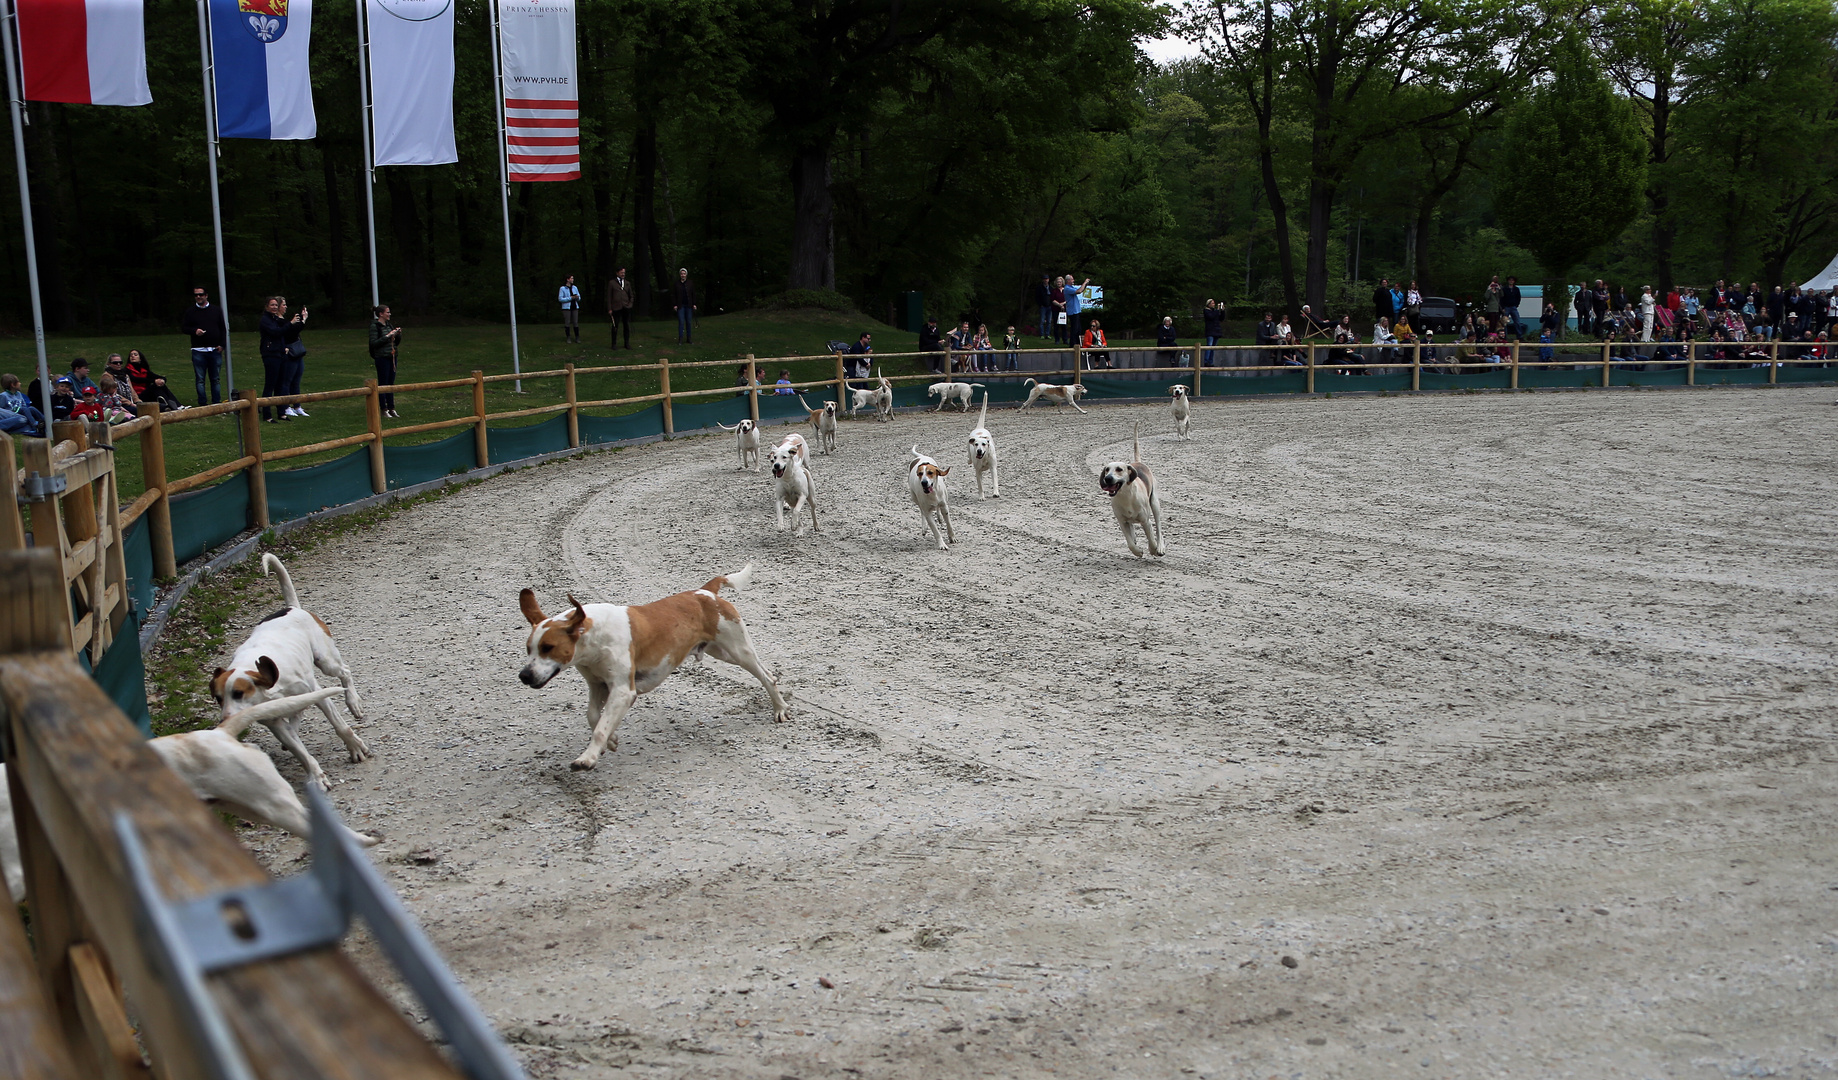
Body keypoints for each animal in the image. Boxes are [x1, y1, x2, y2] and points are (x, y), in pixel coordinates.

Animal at [211, 551, 373, 789]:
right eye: (218, 698)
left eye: (238, 693)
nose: (225, 722)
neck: (269, 691)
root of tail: (293, 608)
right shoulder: (275, 723)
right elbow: (301, 753)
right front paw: (316, 775)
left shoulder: (317, 694)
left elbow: (340, 725)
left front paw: (354, 747)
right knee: (297, 713)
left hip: (326, 661)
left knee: (345, 672)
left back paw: (353, 701)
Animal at [514, 569, 786, 771]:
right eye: (528, 648)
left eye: (548, 647)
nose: (524, 676)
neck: (594, 635)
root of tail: (706, 591)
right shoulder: (598, 685)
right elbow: (594, 717)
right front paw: (611, 740)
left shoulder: (623, 691)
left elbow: (600, 727)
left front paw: (587, 758)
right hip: (720, 652)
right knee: (768, 674)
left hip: (738, 651)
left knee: (767, 678)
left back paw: (780, 709)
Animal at [1095, 422, 1168, 558]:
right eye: (1107, 469)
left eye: (1119, 469)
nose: (1107, 478)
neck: (1126, 496)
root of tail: (1138, 462)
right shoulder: (1122, 522)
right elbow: (1130, 543)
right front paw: (1137, 551)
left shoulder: (1146, 521)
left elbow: (1151, 538)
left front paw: (1153, 549)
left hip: (1155, 504)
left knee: (1158, 528)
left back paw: (1160, 546)